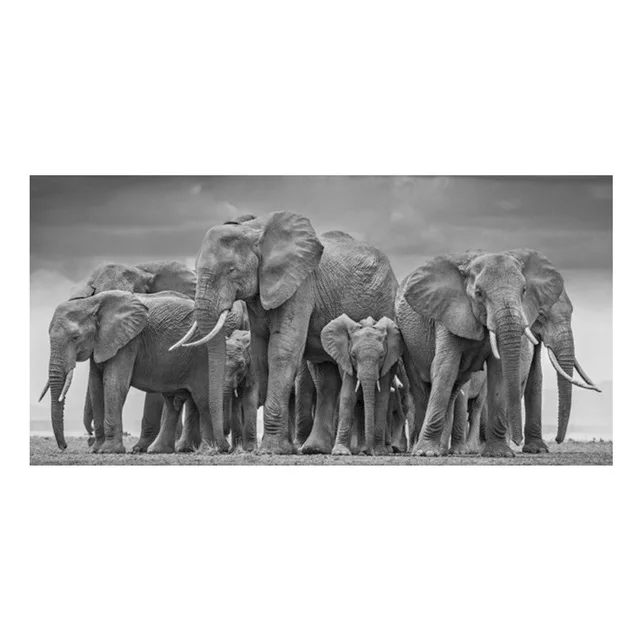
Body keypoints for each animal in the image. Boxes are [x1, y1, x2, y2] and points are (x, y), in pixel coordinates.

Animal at [46, 290, 228, 453]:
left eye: (75, 337)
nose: (64, 447)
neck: (91, 302)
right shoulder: (101, 343)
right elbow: (95, 387)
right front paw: (95, 450)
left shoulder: (128, 342)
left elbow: (114, 384)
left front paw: (108, 451)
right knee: (172, 402)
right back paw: (158, 450)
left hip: (201, 355)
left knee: (202, 400)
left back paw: (208, 450)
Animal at [320, 315, 403, 455]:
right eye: (353, 355)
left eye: (381, 356)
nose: (371, 451)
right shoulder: (347, 361)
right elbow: (348, 397)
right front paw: (341, 452)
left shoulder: (388, 365)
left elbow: (381, 399)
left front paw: (380, 452)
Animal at [398, 248, 564, 458]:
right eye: (478, 293)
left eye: (524, 291)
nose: (517, 441)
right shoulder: (448, 314)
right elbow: (445, 368)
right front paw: (426, 453)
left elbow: (498, 372)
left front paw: (500, 453)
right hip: (407, 343)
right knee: (421, 388)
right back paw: (421, 449)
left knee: (455, 387)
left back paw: (442, 449)